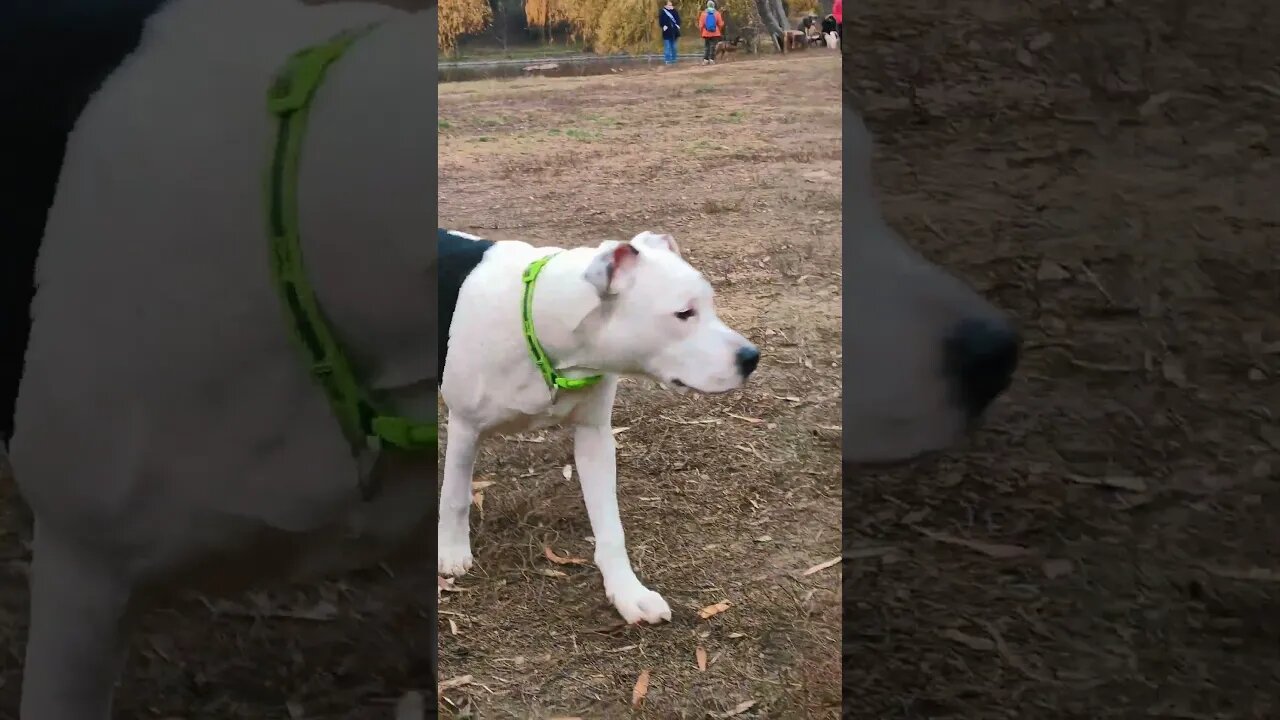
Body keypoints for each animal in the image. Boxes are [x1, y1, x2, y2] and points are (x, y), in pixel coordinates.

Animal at [440, 229, 757, 622]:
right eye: (684, 313)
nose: (752, 357)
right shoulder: (464, 426)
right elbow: (454, 496)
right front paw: (451, 551)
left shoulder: (595, 438)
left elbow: (610, 527)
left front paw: (627, 591)